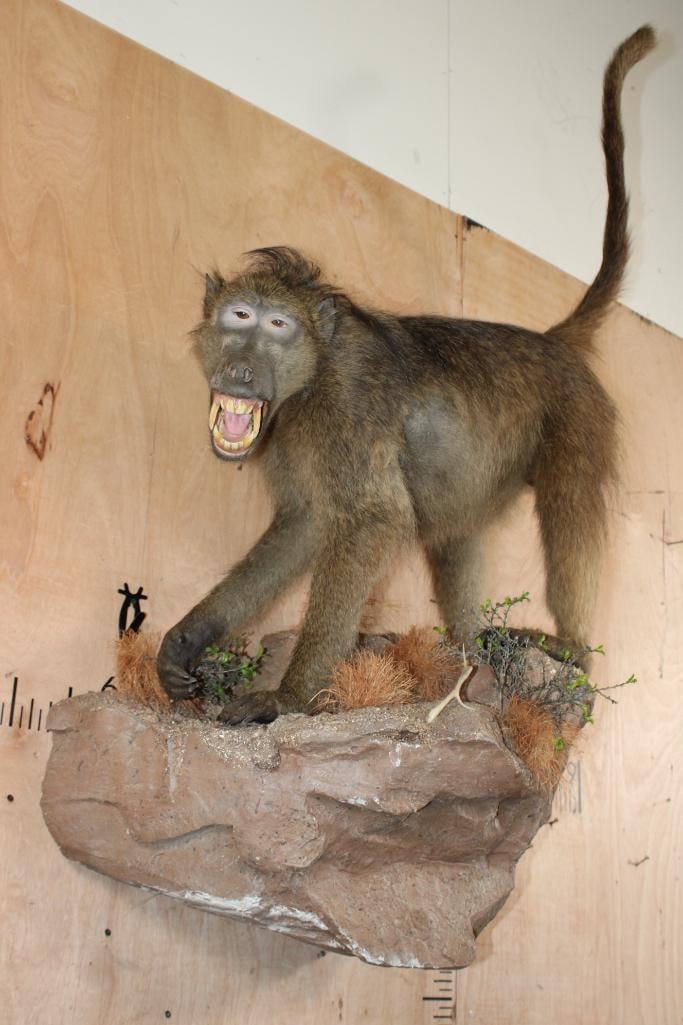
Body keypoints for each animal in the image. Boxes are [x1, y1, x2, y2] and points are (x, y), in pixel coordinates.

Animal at [157, 26, 656, 724]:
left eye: (277, 326)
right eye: (239, 317)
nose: (242, 367)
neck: (312, 374)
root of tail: (549, 341)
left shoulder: (345, 408)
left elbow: (372, 521)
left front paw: (289, 696)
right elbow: (305, 525)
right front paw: (190, 638)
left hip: (578, 412)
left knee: (569, 506)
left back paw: (572, 650)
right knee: (456, 531)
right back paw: (474, 650)